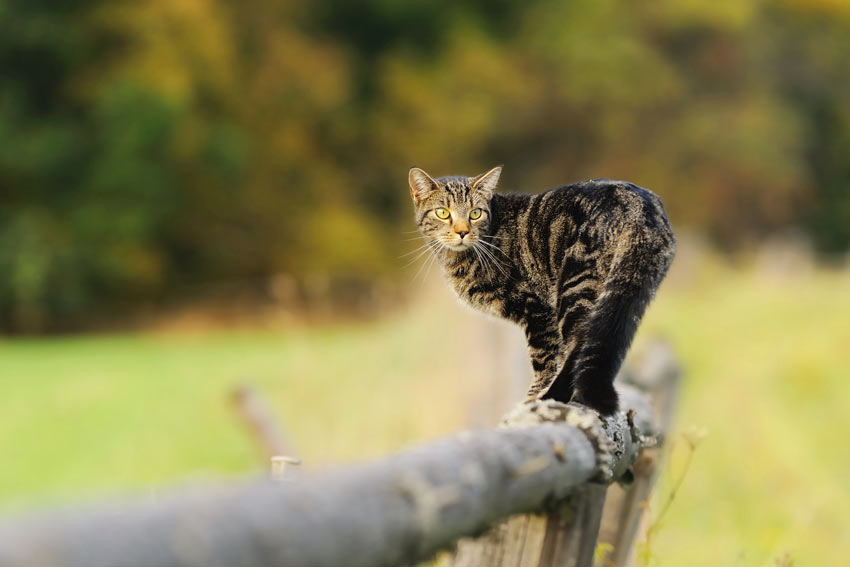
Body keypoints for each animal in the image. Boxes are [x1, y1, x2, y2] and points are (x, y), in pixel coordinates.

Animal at [408, 166, 672, 414]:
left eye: (475, 213)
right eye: (443, 213)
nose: (462, 232)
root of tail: (640, 207)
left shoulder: (537, 310)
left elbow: (544, 361)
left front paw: (534, 396)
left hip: (576, 284)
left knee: (579, 342)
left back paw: (552, 396)